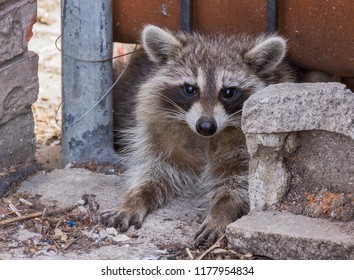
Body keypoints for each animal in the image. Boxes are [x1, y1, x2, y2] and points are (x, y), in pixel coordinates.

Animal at [103, 24, 296, 247]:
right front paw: (136, 197)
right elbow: (153, 171)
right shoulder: (154, 135)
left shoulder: (248, 149)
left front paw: (221, 210)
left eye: (228, 92)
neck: (206, 139)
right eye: (190, 89)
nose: (205, 126)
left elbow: (239, 183)